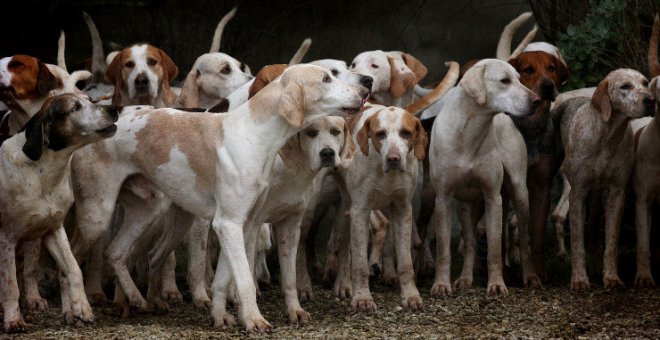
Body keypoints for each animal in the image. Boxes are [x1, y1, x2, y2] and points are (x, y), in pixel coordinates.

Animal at [0, 93, 118, 332]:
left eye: (90, 100)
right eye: (74, 108)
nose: (114, 109)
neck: (42, 171)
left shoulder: (54, 230)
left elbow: (73, 268)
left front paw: (81, 307)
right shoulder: (5, 238)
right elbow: (10, 285)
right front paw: (13, 320)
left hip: (34, 236)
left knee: (30, 270)